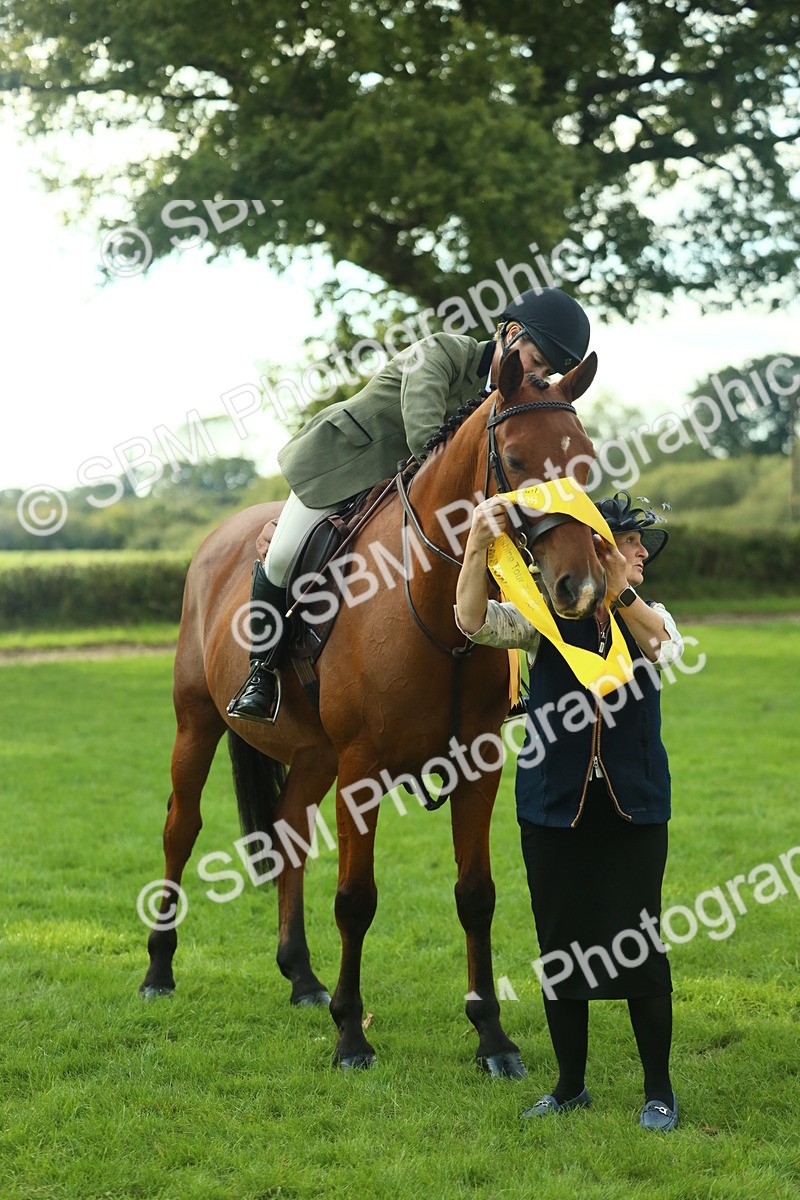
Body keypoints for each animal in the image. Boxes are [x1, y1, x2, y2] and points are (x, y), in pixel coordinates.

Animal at [140, 348, 603, 1075]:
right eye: (517, 460)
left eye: (584, 459)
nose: (578, 588)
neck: (437, 594)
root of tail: (219, 538)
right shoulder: (362, 769)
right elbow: (356, 901)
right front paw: (352, 1037)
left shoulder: (478, 767)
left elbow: (476, 896)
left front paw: (492, 1037)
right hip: (199, 723)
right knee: (180, 829)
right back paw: (159, 970)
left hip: (311, 756)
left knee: (289, 836)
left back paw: (301, 977)